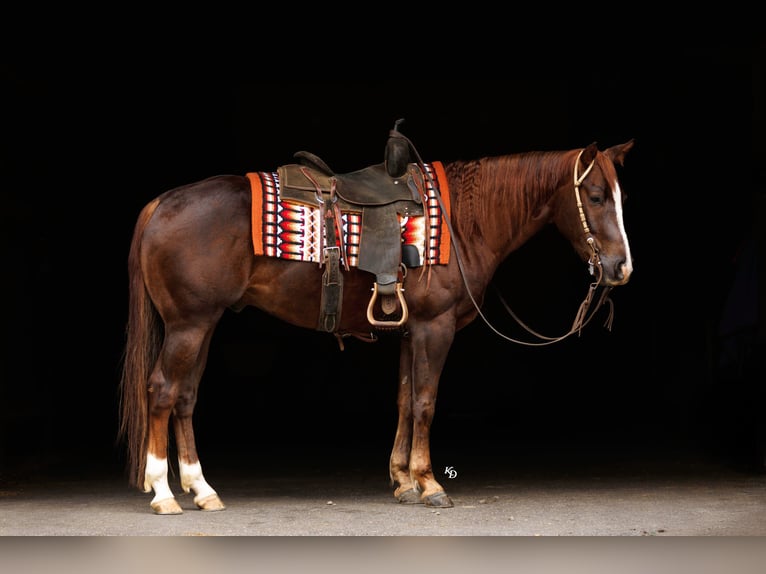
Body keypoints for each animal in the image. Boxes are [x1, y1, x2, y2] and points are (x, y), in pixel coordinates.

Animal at [119, 132, 635, 514]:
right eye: (594, 196)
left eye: (620, 196)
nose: (620, 268)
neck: (462, 222)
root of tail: (162, 203)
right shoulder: (434, 328)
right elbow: (425, 403)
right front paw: (430, 484)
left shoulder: (411, 331)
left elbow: (405, 401)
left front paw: (403, 480)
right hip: (188, 324)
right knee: (163, 391)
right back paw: (163, 491)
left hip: (202, 324)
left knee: (186, 396)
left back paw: (202, 488)